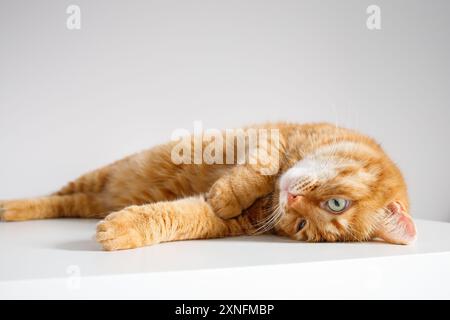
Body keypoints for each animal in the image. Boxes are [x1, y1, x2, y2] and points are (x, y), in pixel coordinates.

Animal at [0, 122, 416, 250]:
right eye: (337, 204)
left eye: (302, 226)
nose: (292, 199)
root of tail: (102, 195)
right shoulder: (273, 135)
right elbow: (259, 167)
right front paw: (228, 193)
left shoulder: (241, 223)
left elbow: (186, 216)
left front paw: (124, 228)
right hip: (100, 174)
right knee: (50, 198)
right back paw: (11, 207)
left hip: (89, 197)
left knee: (65, 203)